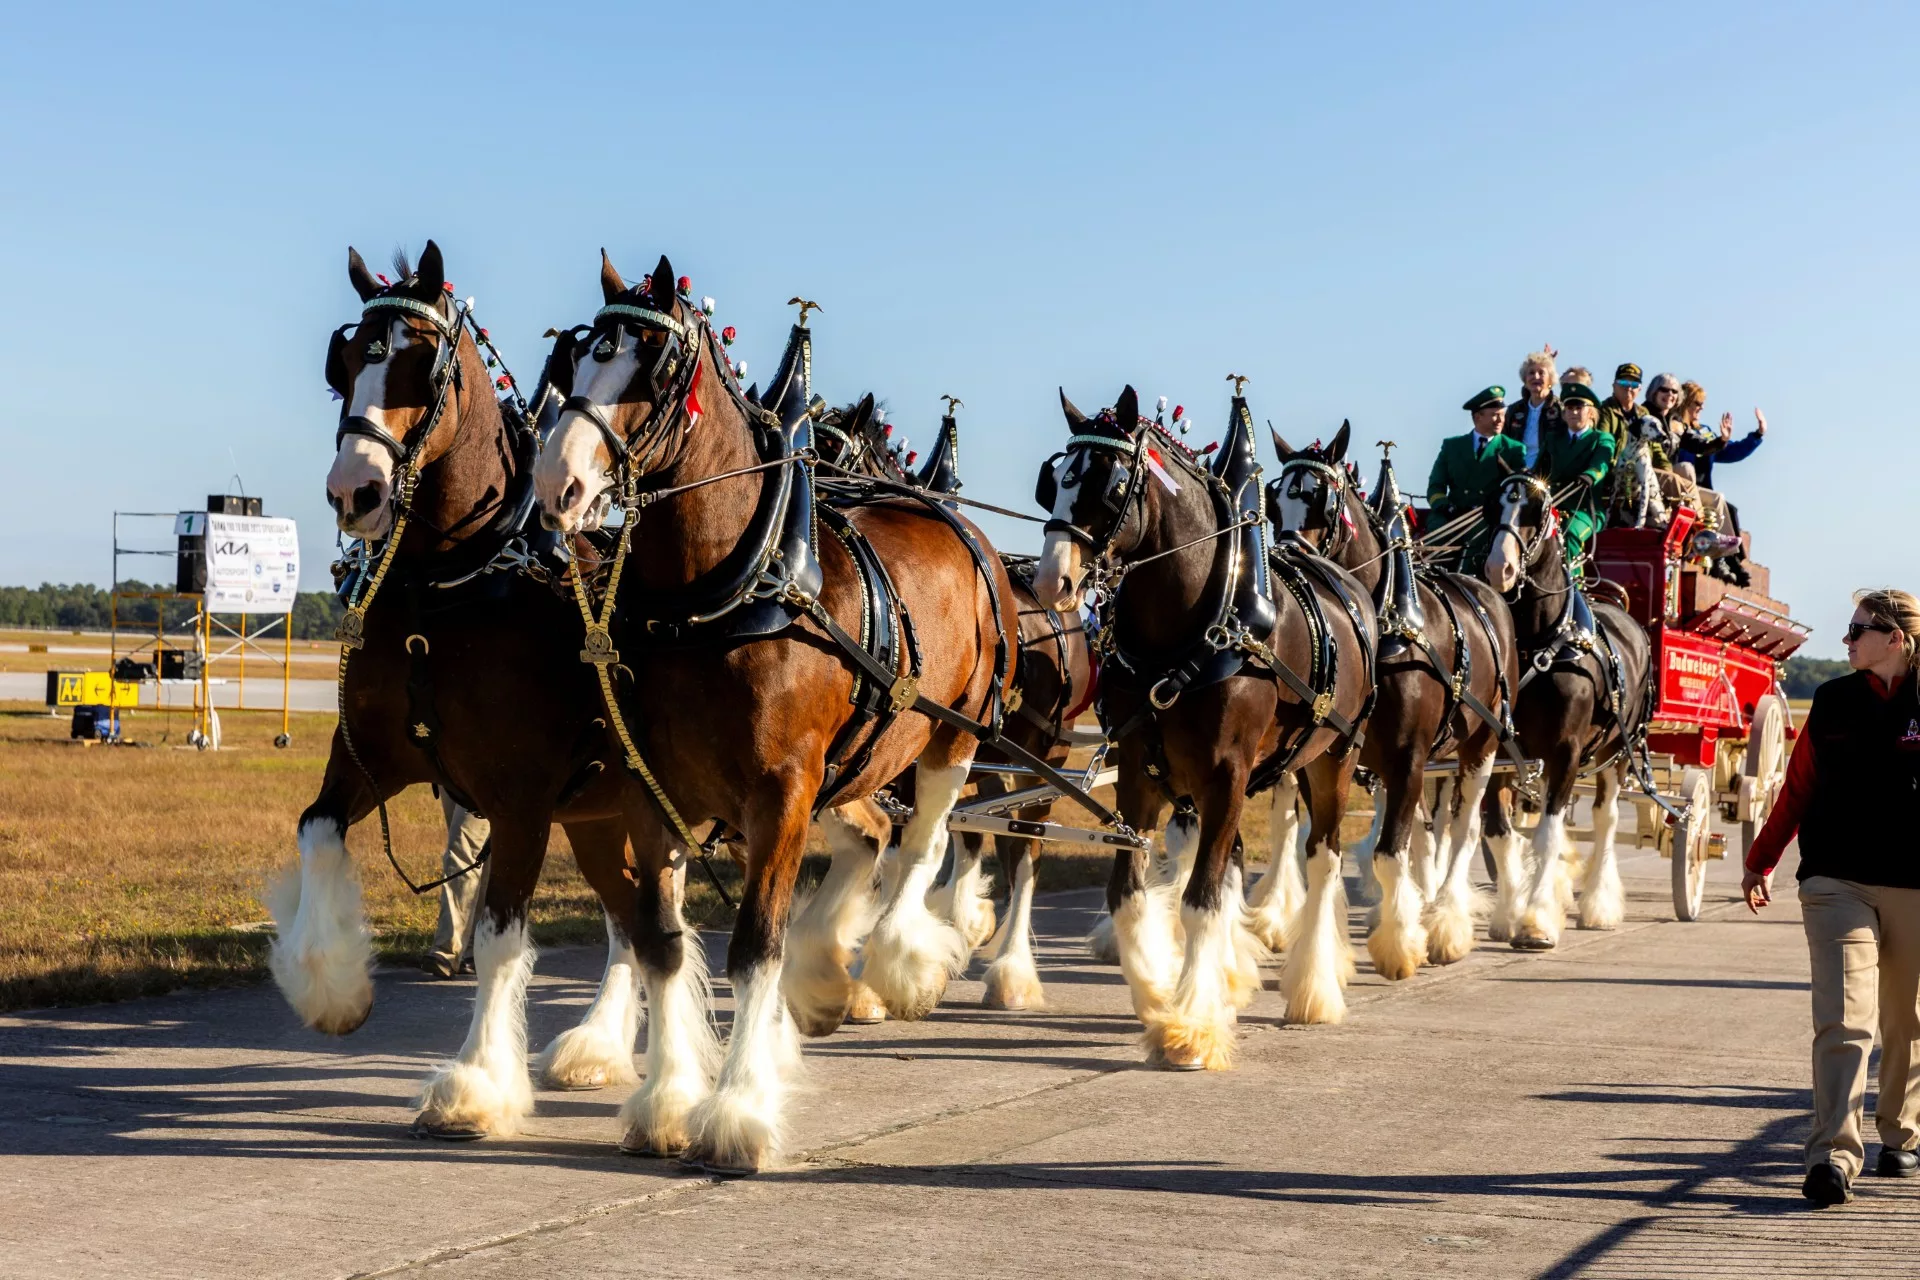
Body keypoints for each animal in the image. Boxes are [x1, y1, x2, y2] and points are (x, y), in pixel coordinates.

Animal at [533, 255, 1021, 1174]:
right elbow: (658, 940)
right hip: (853, 764)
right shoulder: (653, 794)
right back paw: (824, 979)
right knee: (871, 836)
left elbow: (754, 943)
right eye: (577, 361)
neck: (721, 594)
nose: (556, 485)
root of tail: (955, 523)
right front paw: (667, 1102)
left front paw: (736, 1113)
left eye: (653, 371)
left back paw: (897, 965)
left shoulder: (781, 791)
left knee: (922, 844)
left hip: (952, 735)